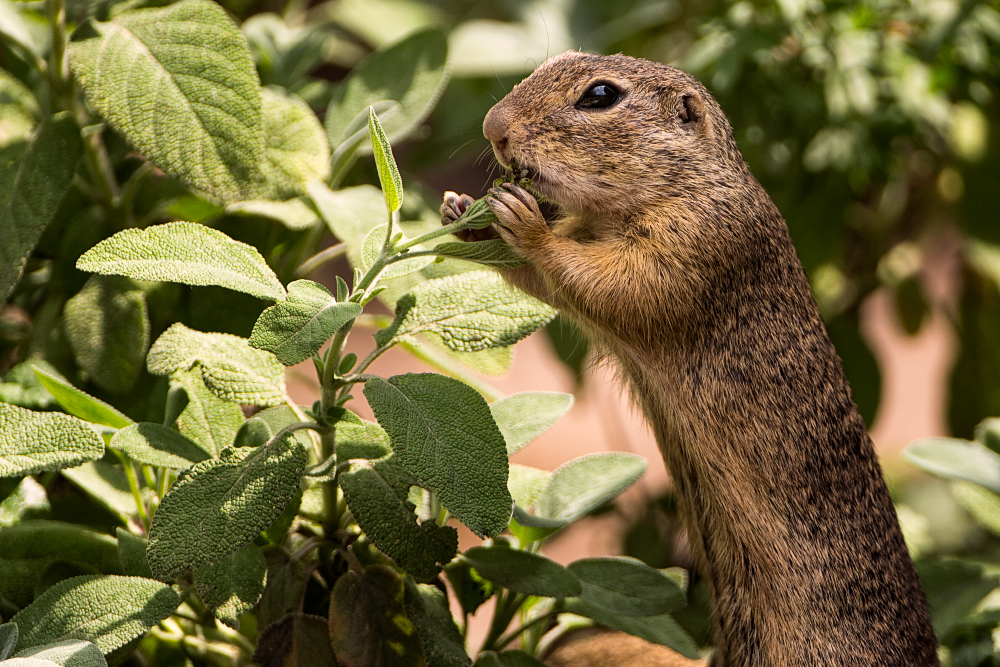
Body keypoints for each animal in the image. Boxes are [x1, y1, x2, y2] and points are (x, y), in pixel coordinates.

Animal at [442, 53, 940, 667]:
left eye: (600, 96)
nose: (494, 127)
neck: (681, 183)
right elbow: (550, 284)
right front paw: (467, 213)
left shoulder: (692, 245)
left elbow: (603, 281)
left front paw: (523, 221)